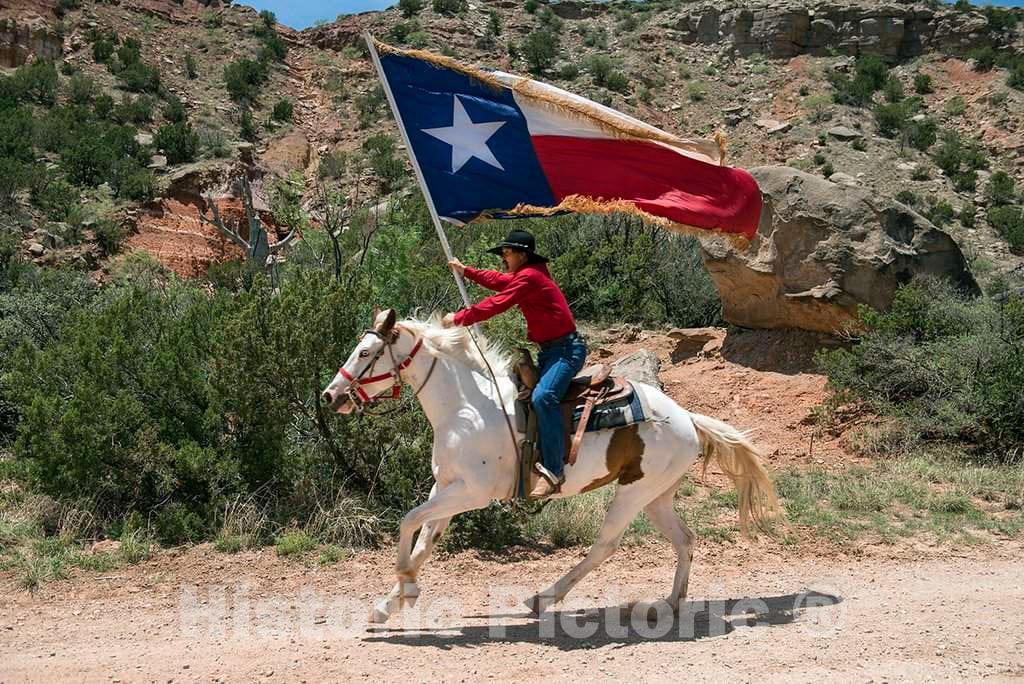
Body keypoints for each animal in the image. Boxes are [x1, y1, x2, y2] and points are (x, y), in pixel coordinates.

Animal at [323, 309, 778, 626]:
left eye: (366, 352)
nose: (330, 395)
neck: (468, 408)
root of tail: (686, 417)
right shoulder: (446, 488)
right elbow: (424, 540)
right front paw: (391, 602)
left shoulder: (471, 493)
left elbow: (407, 523)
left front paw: (405, 584)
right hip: (656, 495)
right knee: (685, 540)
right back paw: (668, 605)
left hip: (633, 493)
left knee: (605, 546)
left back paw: (541, 599)